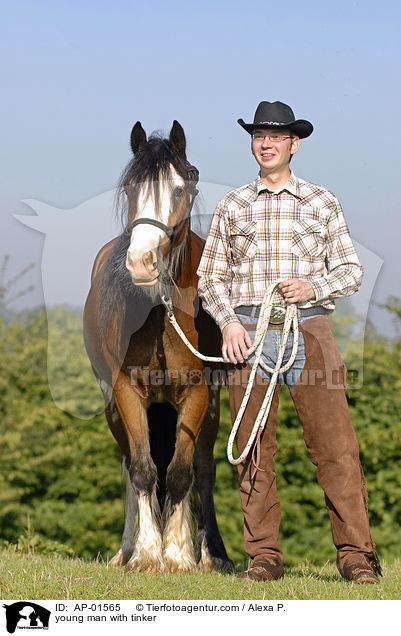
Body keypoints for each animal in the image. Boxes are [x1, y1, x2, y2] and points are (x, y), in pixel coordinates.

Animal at [83, 119, 231, 572]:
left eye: (180, 190)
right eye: (131, 189)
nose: (141, 262)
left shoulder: (199, 394)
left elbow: (182, 471)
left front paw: (180, 554)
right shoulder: (125, 392)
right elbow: (144, 470)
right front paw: (148, 553)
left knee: (203, 468)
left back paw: (212, 554)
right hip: (114, 406)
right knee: (131, 465)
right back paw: (126, 549)